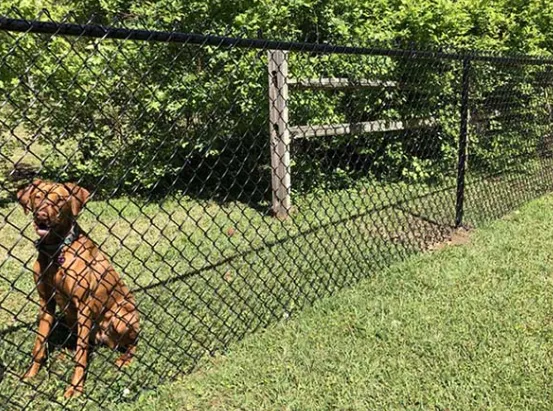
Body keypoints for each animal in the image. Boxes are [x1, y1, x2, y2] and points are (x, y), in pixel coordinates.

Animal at [17, 180, 139, 400]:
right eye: (37, 196)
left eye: (60, 200)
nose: (41, 216)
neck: (56, 250)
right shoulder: (46, 303)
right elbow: (38, 345)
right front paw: (30, 375)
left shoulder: (83, 306)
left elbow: (81, 357)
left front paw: (75, 389)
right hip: (72, 318)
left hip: (121, 316)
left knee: (131, 344)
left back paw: (124, 359)